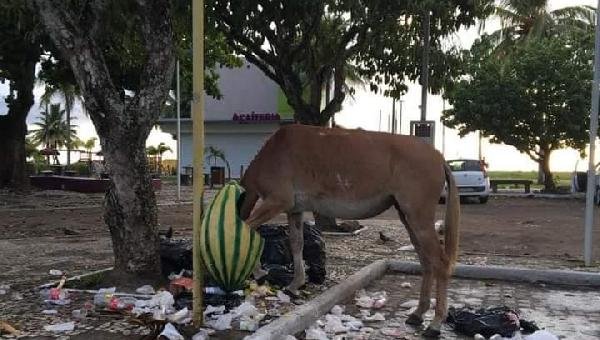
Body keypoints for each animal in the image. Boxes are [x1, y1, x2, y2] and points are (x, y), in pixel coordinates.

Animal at [239, 123, 460, 336]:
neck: (277, 151)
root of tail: (438, 157)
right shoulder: (294, 211)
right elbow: (296, 244)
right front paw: (295, 284)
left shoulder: (277, 202)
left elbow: (247, 229)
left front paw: (259, 272)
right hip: (408, 218)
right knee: (426, 261)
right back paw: (418, 313)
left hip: (418, 218)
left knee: (440, 262)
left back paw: (435, 323)